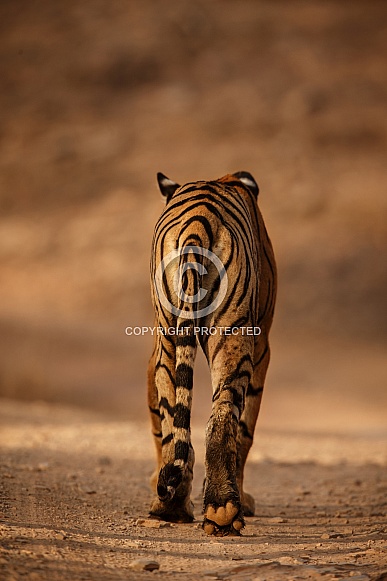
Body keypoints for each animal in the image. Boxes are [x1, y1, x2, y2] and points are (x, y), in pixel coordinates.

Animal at [147, 170, 278, 536]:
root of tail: (198, 218)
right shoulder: (262, 349)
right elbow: (246, 430)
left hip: (169, 338)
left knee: (174, 422)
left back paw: (173, 506)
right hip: (234, 335)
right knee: (223, 416)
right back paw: (224, 509)